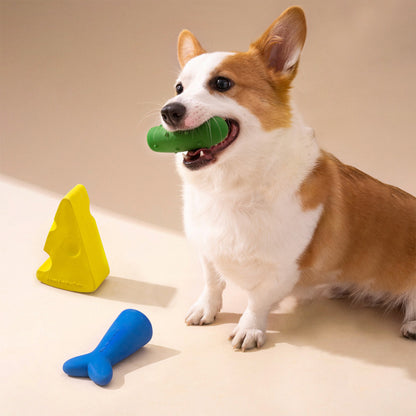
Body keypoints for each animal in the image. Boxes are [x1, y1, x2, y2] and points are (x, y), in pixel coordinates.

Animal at [160, 6, 416, 352]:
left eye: (222, 83)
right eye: (179, 89)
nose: (168, 111)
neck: (231, 187)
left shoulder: (282, 269)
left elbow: (257, 302)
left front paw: (249, 329)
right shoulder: (207, 250)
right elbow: (212, 283)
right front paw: (206, 309)